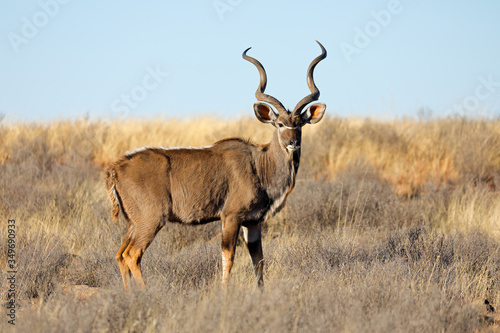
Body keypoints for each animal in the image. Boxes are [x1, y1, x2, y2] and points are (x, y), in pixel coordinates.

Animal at [104, 40, 328, 288]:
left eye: (299, 124)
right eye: (279, 124)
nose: (292, 143)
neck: (259, 165)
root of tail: (115, 170)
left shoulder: (253, 222)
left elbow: (259, 260)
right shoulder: (231, 216)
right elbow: (228, 256)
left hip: (133, 223)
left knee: (120, 254)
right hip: (150, 220)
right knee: (132, 254)